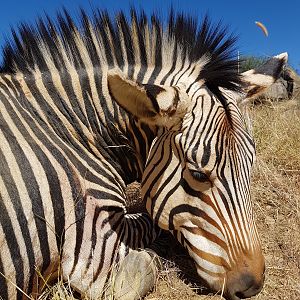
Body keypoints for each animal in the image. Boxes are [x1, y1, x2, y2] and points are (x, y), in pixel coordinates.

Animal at [0, 8, 288, 298]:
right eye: (198, 174)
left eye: (250, 166)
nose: (252, 285)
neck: (68, 129)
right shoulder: (94, 248)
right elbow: (149, 248)